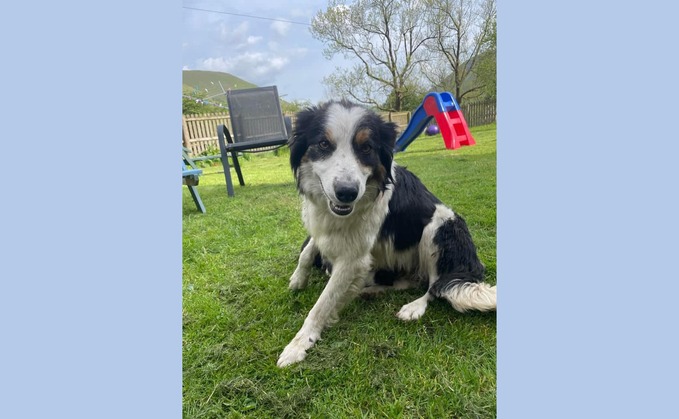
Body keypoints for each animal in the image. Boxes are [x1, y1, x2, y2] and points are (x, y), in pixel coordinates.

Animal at [278, 101, 496, 368]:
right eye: (323, 144)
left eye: (366, 148)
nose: (347, 193)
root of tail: (470, 266)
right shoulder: (324, 229)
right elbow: (309, 249)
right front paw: (298, 279)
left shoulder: (353, 259)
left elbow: (322, 304)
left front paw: (299, 344)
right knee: (409, 282)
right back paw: (370, 290)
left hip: (439, 225)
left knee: (434, 286)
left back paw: (413, 307)